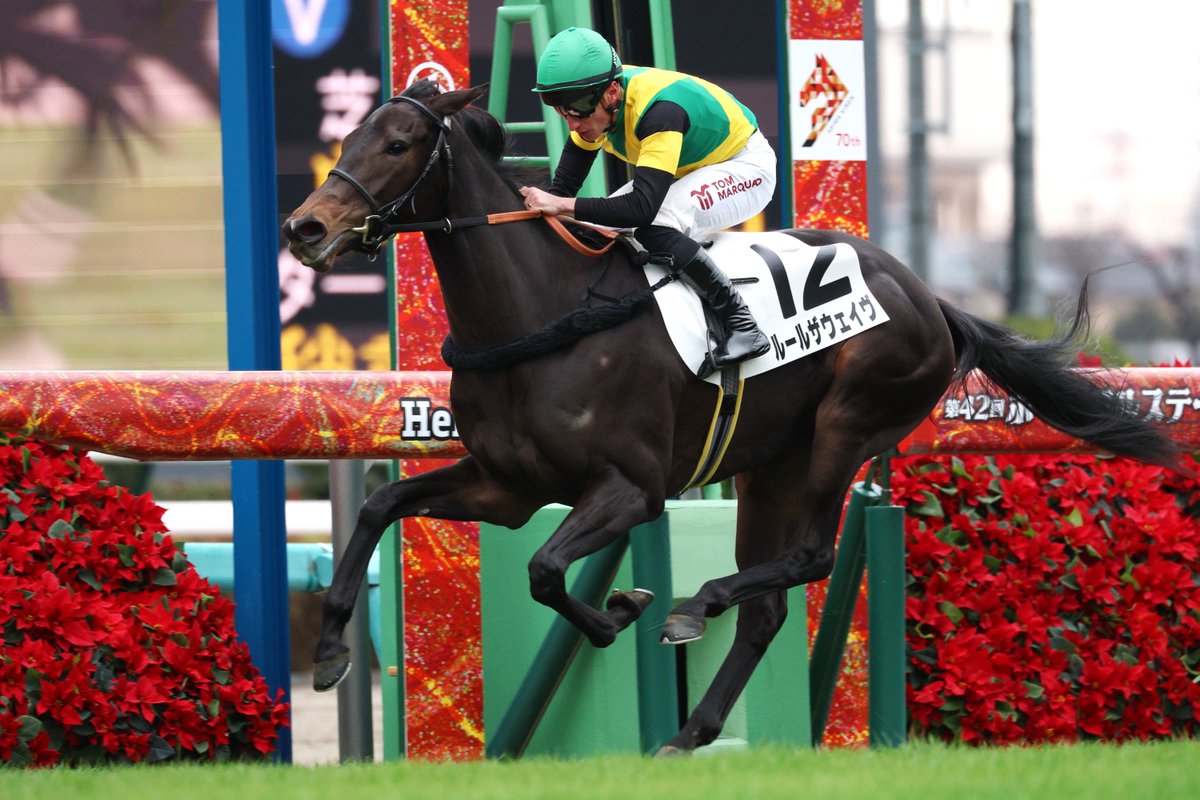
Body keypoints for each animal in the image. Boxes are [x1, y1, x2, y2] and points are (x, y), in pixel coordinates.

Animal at [282, 79, 1180, 755]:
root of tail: (931, 297)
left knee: (811, 557)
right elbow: (381, 505)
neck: (541, 313)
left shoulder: (631, 490)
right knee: (770, 606)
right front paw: (327, 652)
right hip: (770, 464)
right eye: (350, 134)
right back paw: (691, 728)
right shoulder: (505, 486)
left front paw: (621, 612)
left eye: (399, 143)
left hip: (847, 428)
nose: (305, 226)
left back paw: (693, 606)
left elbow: (544, 569)